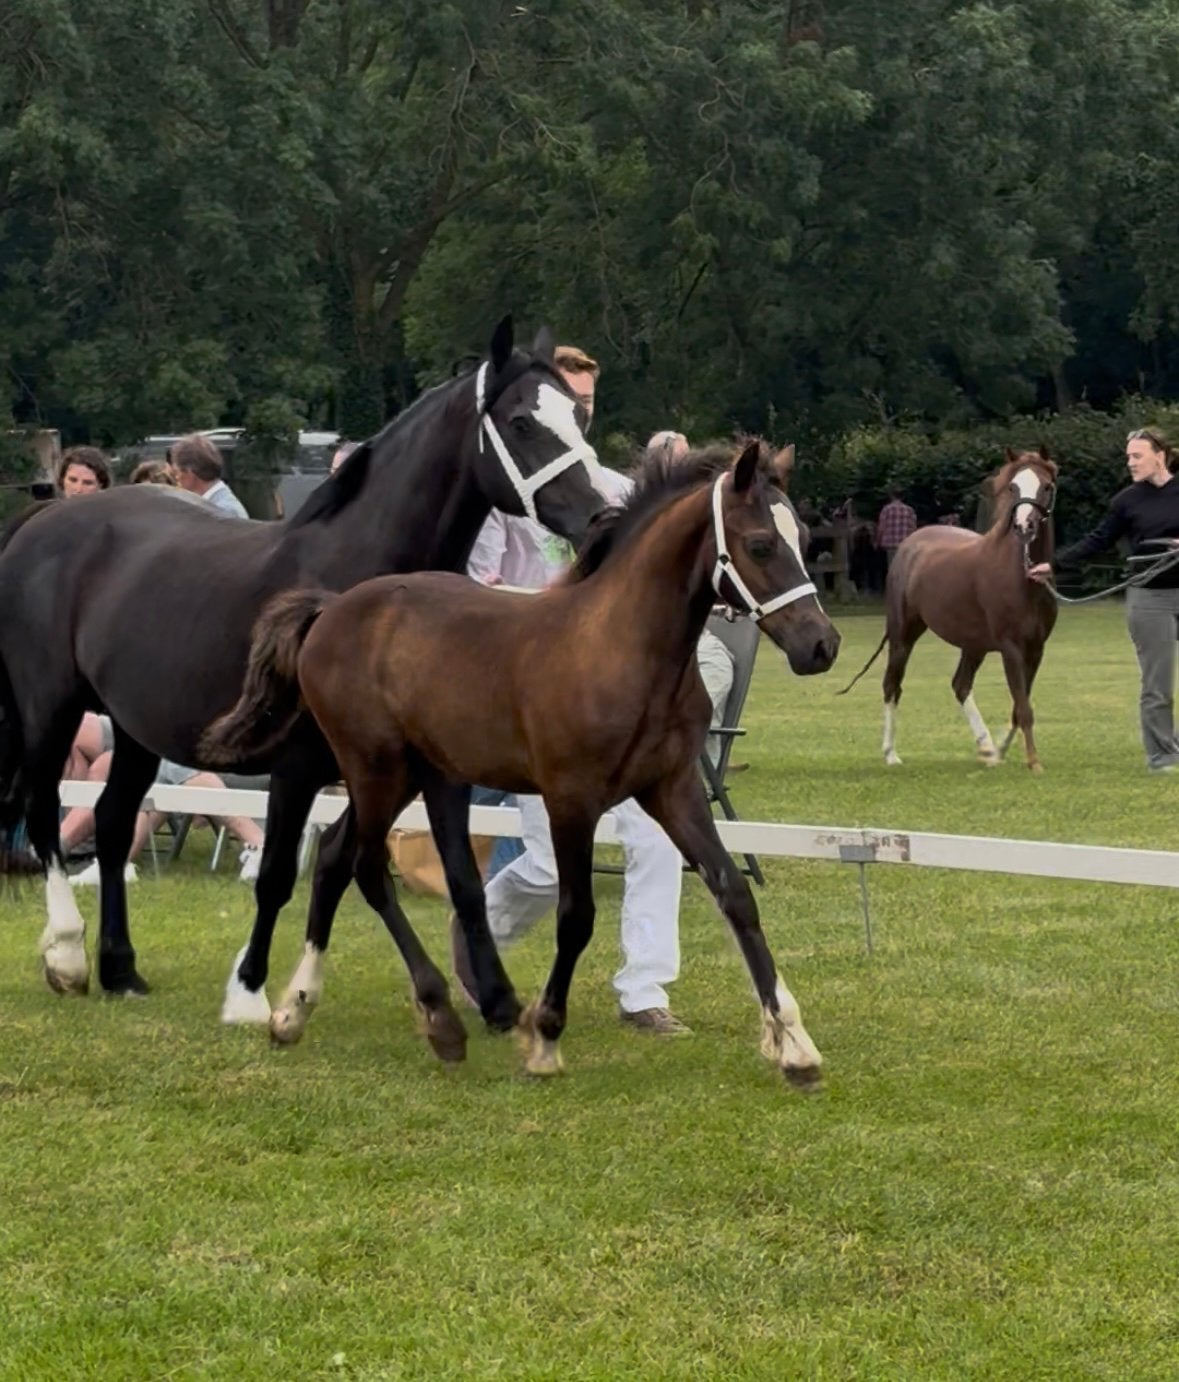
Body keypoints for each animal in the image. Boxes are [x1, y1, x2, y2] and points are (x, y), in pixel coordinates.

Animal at [0, 318, 610, 1004]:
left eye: (579, 416)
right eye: (521, 421)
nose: (602, 514)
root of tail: (45, 516)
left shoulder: (421, 767)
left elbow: (437, 874)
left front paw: (491, 996)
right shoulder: (295, 766)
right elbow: (277, 876)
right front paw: (248, 994)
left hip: (133, 727)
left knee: (110, 821)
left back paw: (121, 967)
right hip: (50, 708)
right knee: (44, 814)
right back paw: (68, 956)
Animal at [200, 441, 842, 1087]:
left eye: (804, 535)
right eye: (760, 544)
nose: (821, 645)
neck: (621, 648)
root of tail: (330, 609)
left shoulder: (673, 788)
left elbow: (734, 893)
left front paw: (794, 1044)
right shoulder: (571, 799)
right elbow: (576, 916)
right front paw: (546, 1039)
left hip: (406, 774)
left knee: (334, 856)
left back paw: (296, 1010)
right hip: (375, 767)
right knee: (365, 866)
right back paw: (439, 1017)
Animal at [838, 448, 1058, 771]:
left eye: (1047, 486)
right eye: (1012, 487)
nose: (1024, 527)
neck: (1023, 578)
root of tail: (910, 543)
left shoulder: (1036, 649)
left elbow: (1020, 708)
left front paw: (1003, 752)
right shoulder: (1011, 648)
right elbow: (1023, 707)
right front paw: (1034, 763)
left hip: (973, 645)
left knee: (960, 685)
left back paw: (987, 748)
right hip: (903, 635)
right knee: (892, 685)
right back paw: (891, 753)